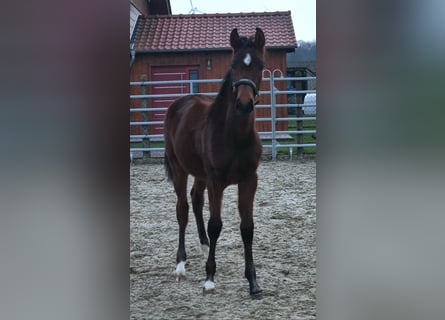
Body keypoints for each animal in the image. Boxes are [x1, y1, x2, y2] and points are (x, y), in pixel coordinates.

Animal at [165, 27, 266, 298]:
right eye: (233, 64)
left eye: (260, 66)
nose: (244, 104)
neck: (234, 136)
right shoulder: (216, 182)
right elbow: (216, 224)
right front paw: (209, 278)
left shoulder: (249, 180)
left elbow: (247, 228)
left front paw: (253, 282)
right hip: (179, 168)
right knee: (182, 209)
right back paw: (180, 264)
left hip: (200, 175)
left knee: (196, 200)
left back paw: (203, 247)